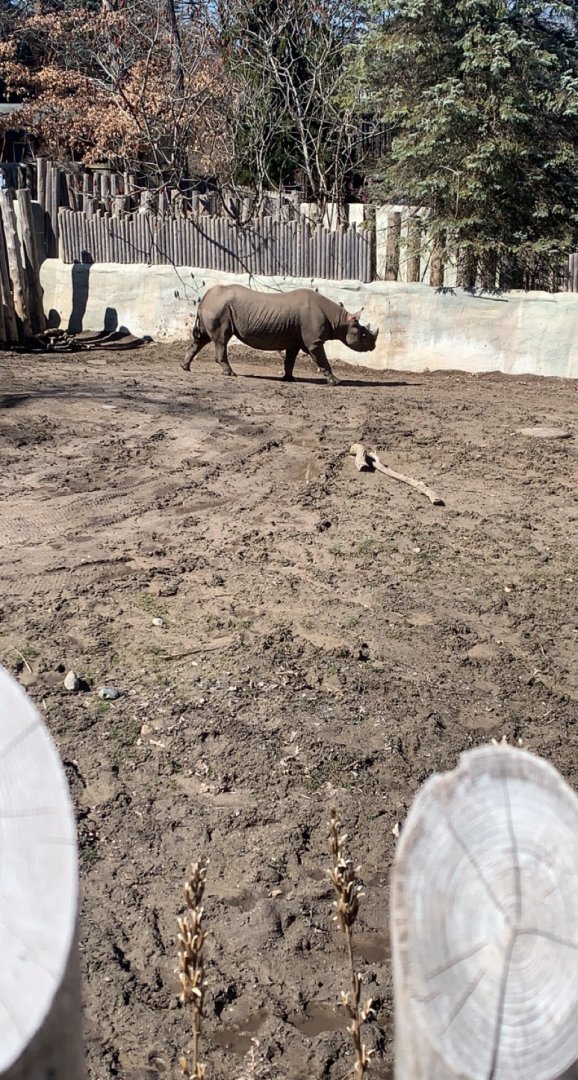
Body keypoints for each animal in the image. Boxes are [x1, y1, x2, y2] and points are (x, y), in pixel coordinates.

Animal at [181, 285, 378, 385]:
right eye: (364, 335)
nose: (374, 346)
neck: (339, 320)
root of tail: (205, 297)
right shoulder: (314, 341)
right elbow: (322, 359)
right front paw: (335, 381)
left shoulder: (295, 341)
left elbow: (290, 360)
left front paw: (289, 378)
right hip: (220, 308)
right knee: (222, 339)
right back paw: (230, 374)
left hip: (215, 306)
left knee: (202, 338)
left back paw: (185, 368)